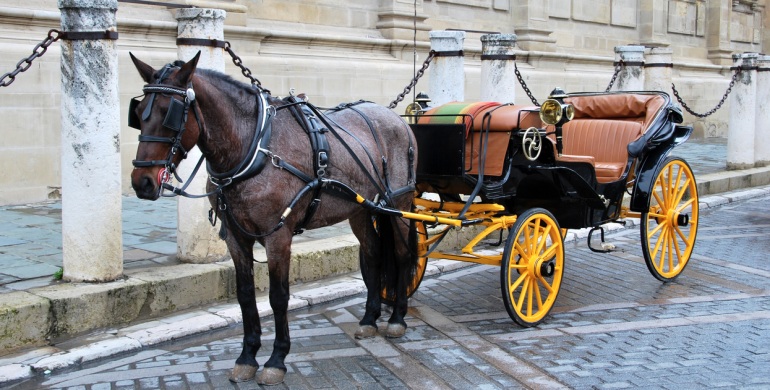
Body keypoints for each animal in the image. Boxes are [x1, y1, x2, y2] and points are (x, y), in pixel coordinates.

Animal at [127, 53, 414, 386]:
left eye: (169, 113)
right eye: (139, 114)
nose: (142, 182)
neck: (253, 149)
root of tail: (397, 119)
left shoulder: (278, 236)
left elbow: (278, 296)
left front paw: (277, 359)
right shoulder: (236, 237)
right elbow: (245, 295)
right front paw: (247, 356)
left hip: (399, 204)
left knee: (402, 254)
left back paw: (397, 318)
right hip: (361, 210)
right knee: (373, 255)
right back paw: (369, 319)